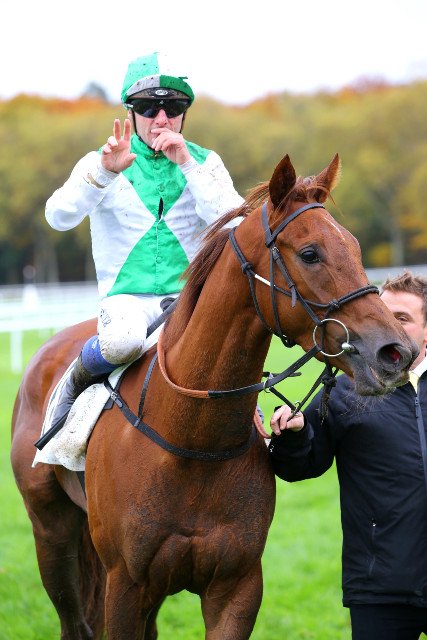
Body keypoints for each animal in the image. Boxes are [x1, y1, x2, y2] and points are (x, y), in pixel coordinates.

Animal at [11, 153, 416, 640]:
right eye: (310, 253)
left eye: (355, 248)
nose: (396, 352)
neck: (192, 440)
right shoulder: (124, 583)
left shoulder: (236, 585)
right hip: (52, 535)